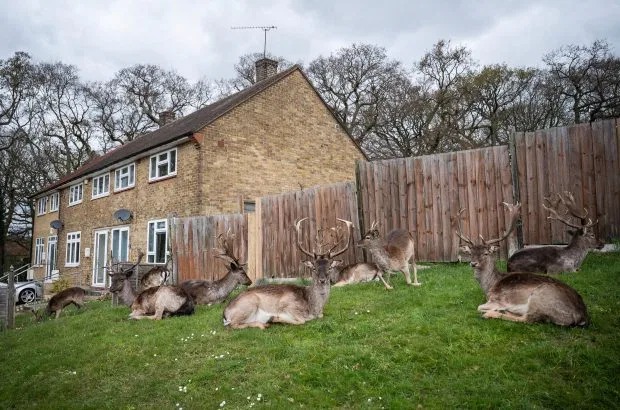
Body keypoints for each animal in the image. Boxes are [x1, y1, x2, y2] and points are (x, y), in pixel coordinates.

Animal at [223, 218, 352, 330]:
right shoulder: (287, 304)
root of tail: (225, 314)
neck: (313, 307)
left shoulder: (320, 314)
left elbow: (319, 316)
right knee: (233, 324)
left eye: (329, 267)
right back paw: (264, 324)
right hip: (249, 304)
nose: (322, 280)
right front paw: (274, 318)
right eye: (314, 268)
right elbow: (302, 320)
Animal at [458, 202, 588, 326]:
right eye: (471, 253)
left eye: (485, 253)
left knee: (528, 319)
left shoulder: (497, 299)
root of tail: (581, 316)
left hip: (539, 297)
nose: (473, 263)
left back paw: (493, 313)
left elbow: (479, 307)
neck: (490, 286)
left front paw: (496, 309)